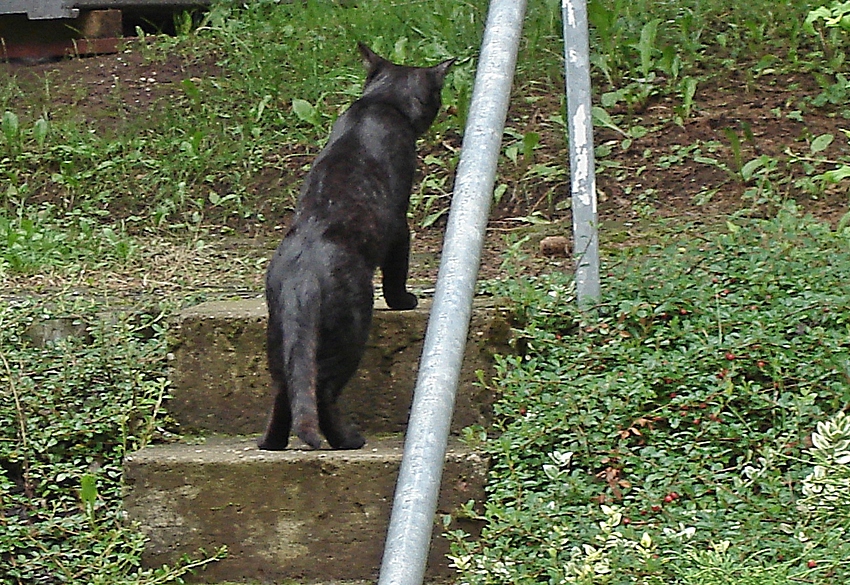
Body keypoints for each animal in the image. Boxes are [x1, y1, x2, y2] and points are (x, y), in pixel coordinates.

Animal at [258, 43, 454, 450]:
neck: (379, 103)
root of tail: (302, 276)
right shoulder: (399, 224)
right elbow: (397, 269)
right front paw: (404, 301)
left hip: (278, 336)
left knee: (287, 388)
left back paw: (272, 443)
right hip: (350, 330)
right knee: (324, 390)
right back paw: (348, 440)